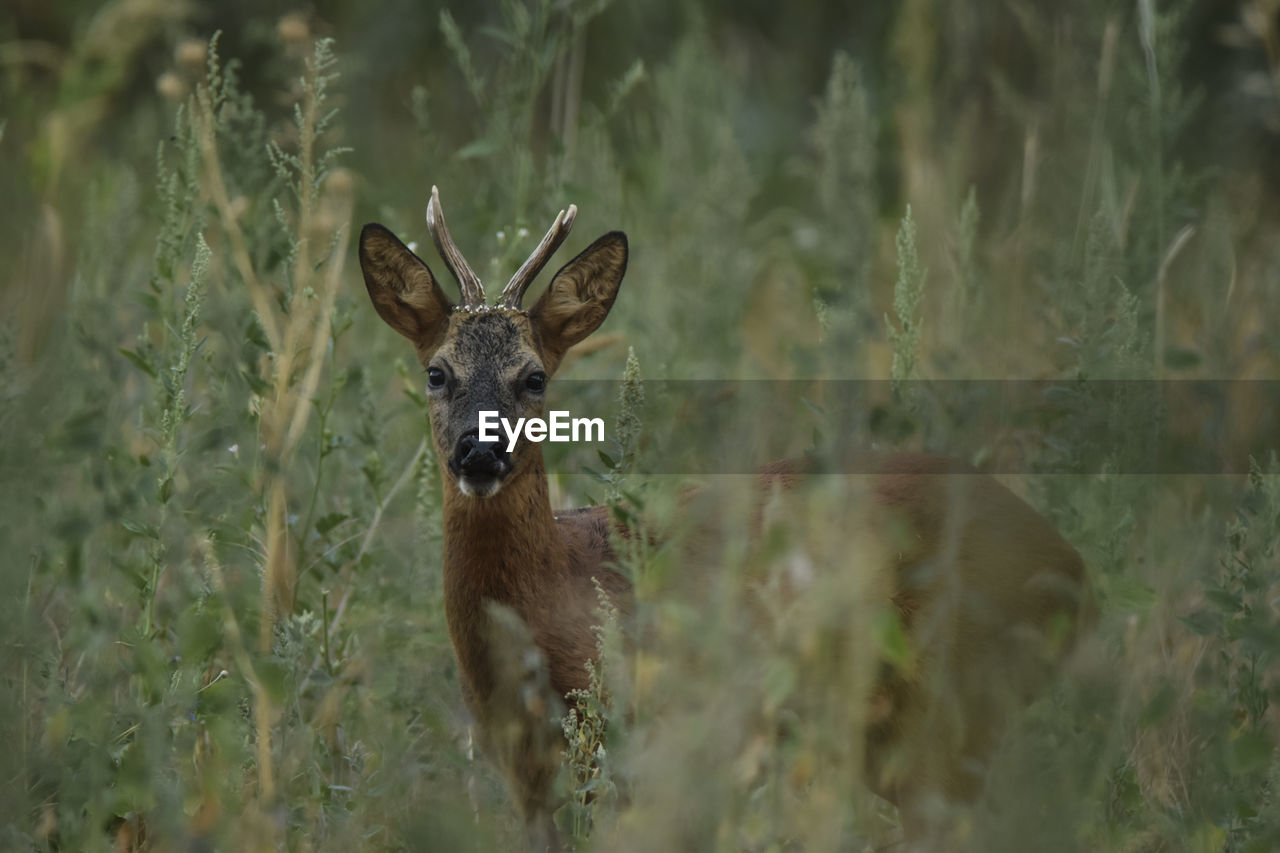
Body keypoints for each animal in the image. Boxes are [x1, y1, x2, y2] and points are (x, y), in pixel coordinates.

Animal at [360, 188, 1090, 850]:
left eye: (534, 377)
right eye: (437, 372)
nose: (480, 451)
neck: (559, 595)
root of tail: (1072, 567)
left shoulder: (642, 740)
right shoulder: (525, 772)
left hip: (954, 705)